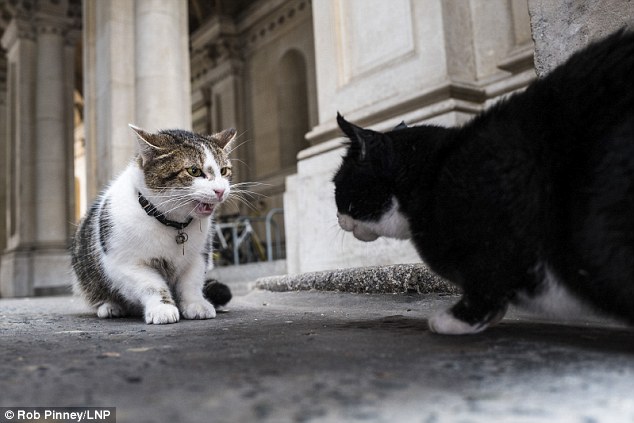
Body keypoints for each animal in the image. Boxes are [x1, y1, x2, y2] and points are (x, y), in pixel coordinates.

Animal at [71, 126, 235, 324]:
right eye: (194, 171)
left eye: (224, 171)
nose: (220, 190)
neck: (173, 224)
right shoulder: (125, 263)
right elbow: (151, 285)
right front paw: (162, 308)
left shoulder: (198, 256)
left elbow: (191, 283)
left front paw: (196, 304)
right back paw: (110, 306)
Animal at [330, 29, 632, 334]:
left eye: (336, 186)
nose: (337, 218)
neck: (433, 173)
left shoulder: (493, 242)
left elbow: (486, 284)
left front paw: (456, 320)